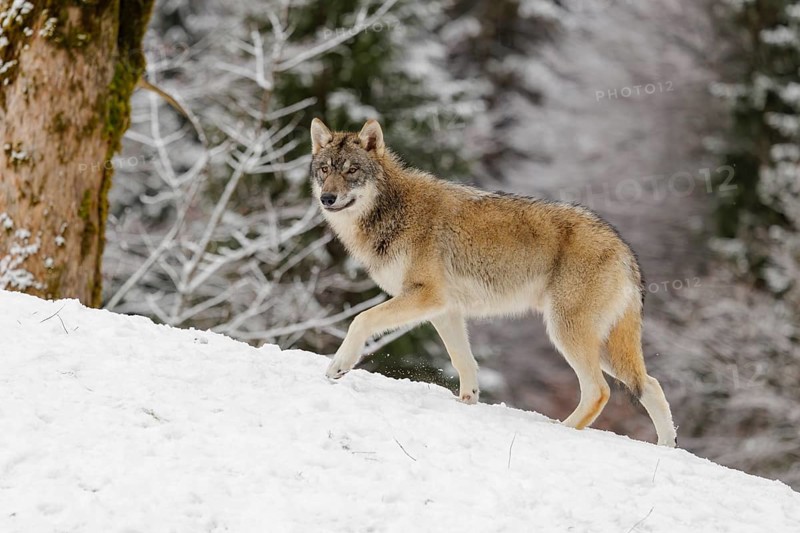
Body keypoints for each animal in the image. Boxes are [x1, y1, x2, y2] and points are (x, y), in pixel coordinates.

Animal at [309, 118, 677, 446]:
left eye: (351, 170)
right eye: (325, 170)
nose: (327, 198)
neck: (392, 210)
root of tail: (624, 248)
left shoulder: (425, 296)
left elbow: (361, 319)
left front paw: (337, 367)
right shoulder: (445, 310)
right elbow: (463, 361)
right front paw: (467, 402)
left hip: (567, 333)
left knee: (599, 391)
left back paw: (562, 429)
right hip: (604, 347)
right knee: (651, 385)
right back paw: (667, 446)